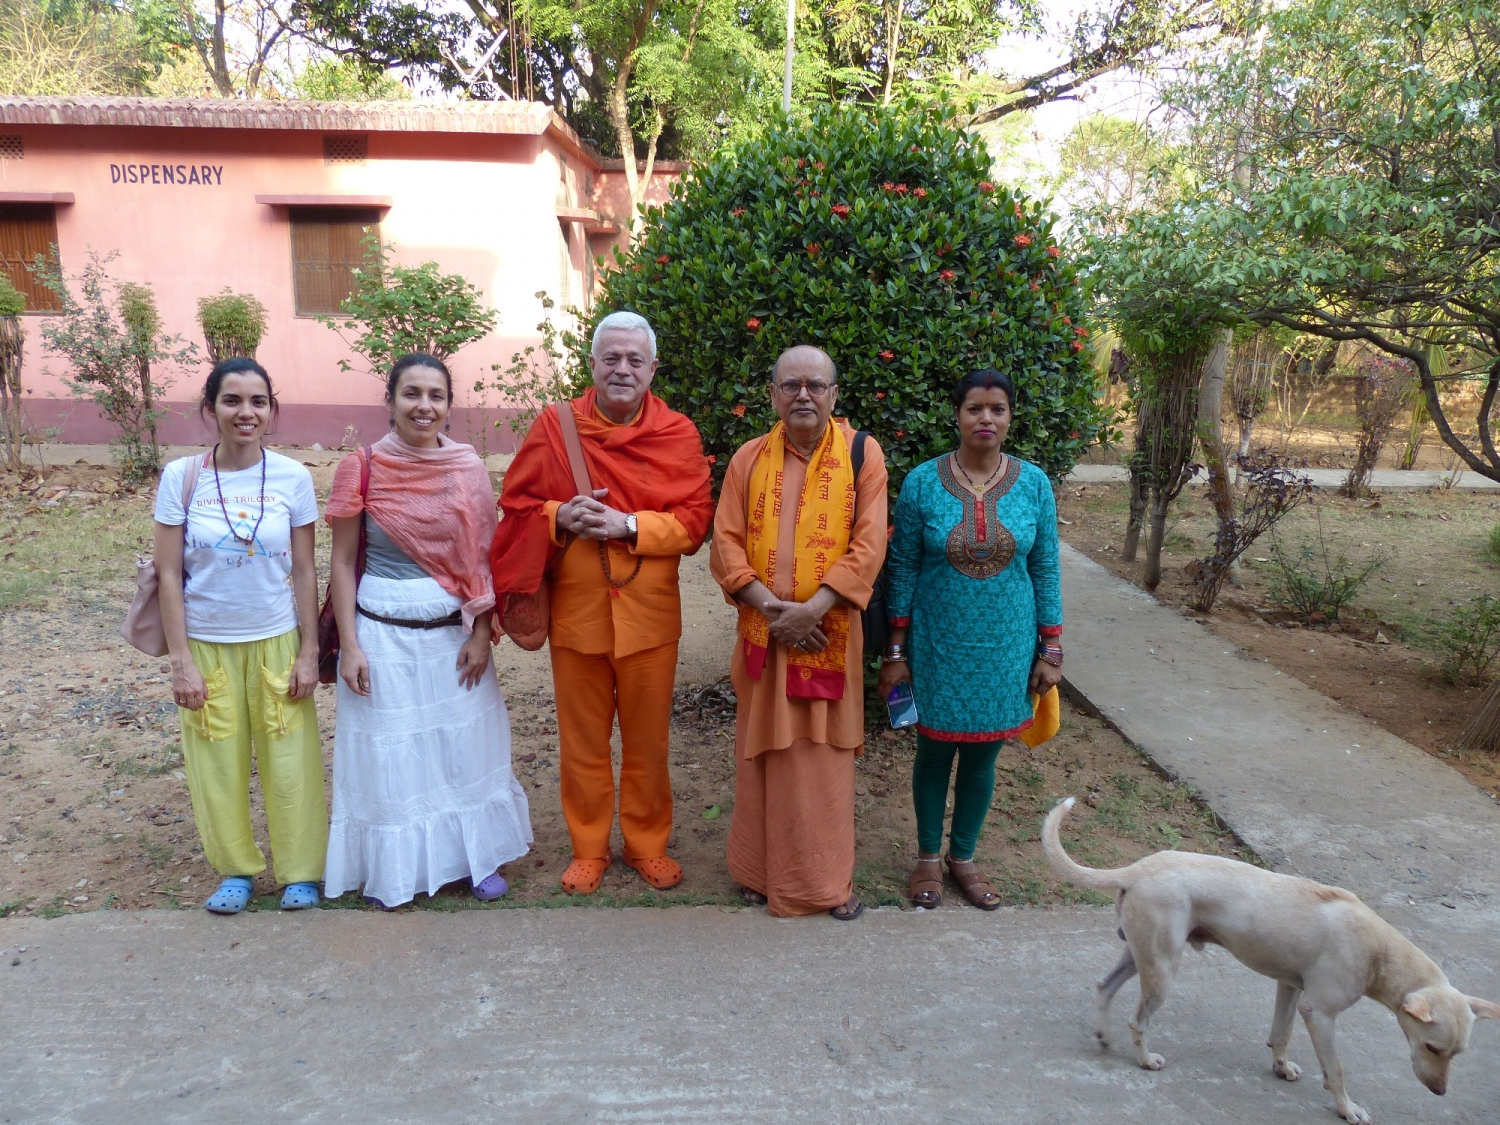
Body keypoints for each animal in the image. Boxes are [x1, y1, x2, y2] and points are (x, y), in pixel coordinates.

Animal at [1042, 797, 1498, 1123]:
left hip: (1141, 958)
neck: (1378, 950)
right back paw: (1144, 1059)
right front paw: (1347, 1109)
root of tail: (1138, 868)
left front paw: (1280, 1067)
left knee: (1104, 987)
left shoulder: (1290, 988)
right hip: (1163, 972)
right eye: (1432, 1047)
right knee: (1138, 1021)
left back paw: (1103, 1036)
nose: (1440, 1092)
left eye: (1457, 1054)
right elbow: (1336, 1071)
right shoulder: (1321, 1013)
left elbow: (1280, 1034)